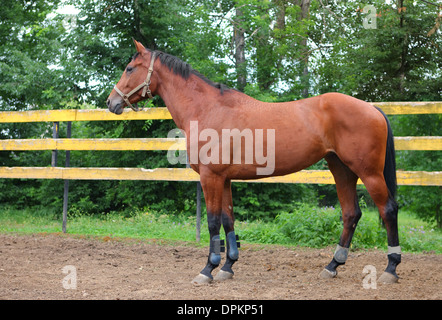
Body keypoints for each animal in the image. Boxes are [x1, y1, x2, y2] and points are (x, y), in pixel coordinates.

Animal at [106, 40, 400, 284]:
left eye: (129, 68)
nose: (111, 102)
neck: (207, 109)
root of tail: (372, 108)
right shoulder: (224, 179)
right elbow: (228, 220)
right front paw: (227, 267)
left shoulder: (210, 178)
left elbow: (213, 222)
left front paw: (208, 269)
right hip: (341, 169)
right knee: (351, 213)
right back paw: (332, 266)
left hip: (369, 172)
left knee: (388, 210)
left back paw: (390, 269)